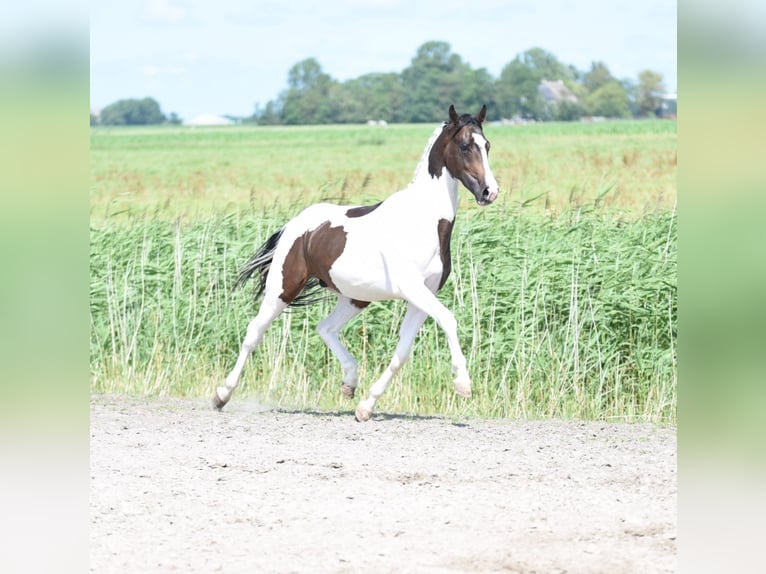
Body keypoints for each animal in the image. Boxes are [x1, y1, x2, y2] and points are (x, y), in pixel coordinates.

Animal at [214, 106, 504, 424]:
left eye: (487, 145)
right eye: (465, 146)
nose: (489, 192)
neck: (422, 221)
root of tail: (296, 225)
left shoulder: (421, 297)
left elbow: (402, 352)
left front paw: (365, 407)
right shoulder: (413, 289)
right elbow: (449, 320)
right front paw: (463, 384)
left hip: (354, 298)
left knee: (325, 328)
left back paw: (349, 383)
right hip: (282, 289)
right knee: (254, 333)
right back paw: (221, 395)